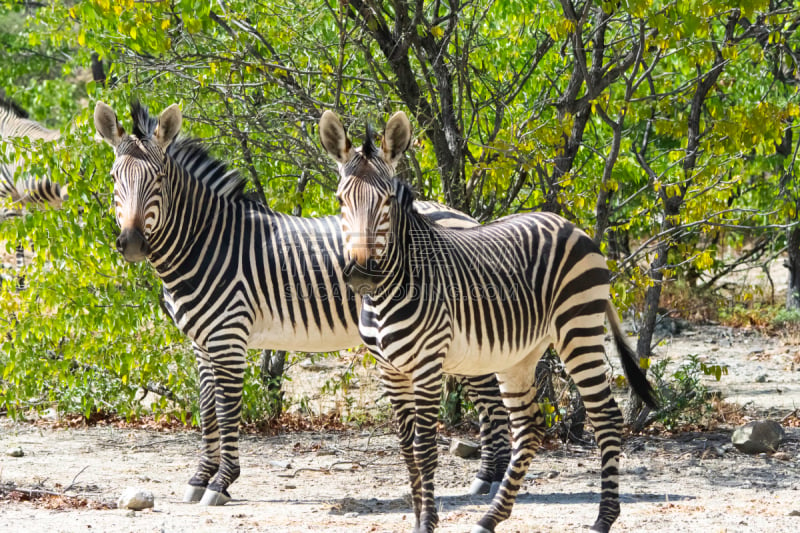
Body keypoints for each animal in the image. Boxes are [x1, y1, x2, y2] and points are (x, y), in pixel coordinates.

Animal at [90, 101, 510, 508]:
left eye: (158, 179)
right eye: (112, 178)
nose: (131, 243)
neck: (207, 243)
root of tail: (468, 218)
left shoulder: (228, 338)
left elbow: (226, 410)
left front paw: (222, 482)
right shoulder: (201, 343)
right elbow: (207, 410)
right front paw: (199, 478)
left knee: (491, 397)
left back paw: (491, 478)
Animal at [318, 110, 656, 532]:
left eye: (386, 201)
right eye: (341, 200)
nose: (363, 274)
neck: (389, 291)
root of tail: (570, 225)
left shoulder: (428, 364)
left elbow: (424, 447)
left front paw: (427, 522)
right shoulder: (390, 370)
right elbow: (406, 447)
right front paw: (418, 517)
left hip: (578, 332)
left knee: (607, 418)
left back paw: (603, 518)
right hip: (519, 355)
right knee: (529, 427)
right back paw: (491, 517)